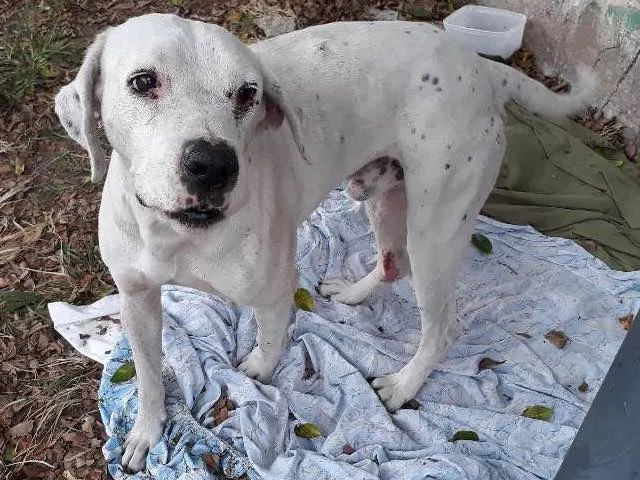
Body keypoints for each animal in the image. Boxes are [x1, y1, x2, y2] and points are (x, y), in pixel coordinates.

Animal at [55, 12, 596, 472]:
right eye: (143, 81)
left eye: (247, 94)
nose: (214, 165)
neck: (178, 232)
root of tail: (480, 67)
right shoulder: (137, 298)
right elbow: (147, 375)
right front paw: (146, 433)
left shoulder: (274, 292)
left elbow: (269, 344)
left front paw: (257, 373)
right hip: (385, 197)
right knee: (392, 260)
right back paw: (355, 294)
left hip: (436, 228)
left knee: (442, 325)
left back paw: (401, 386)